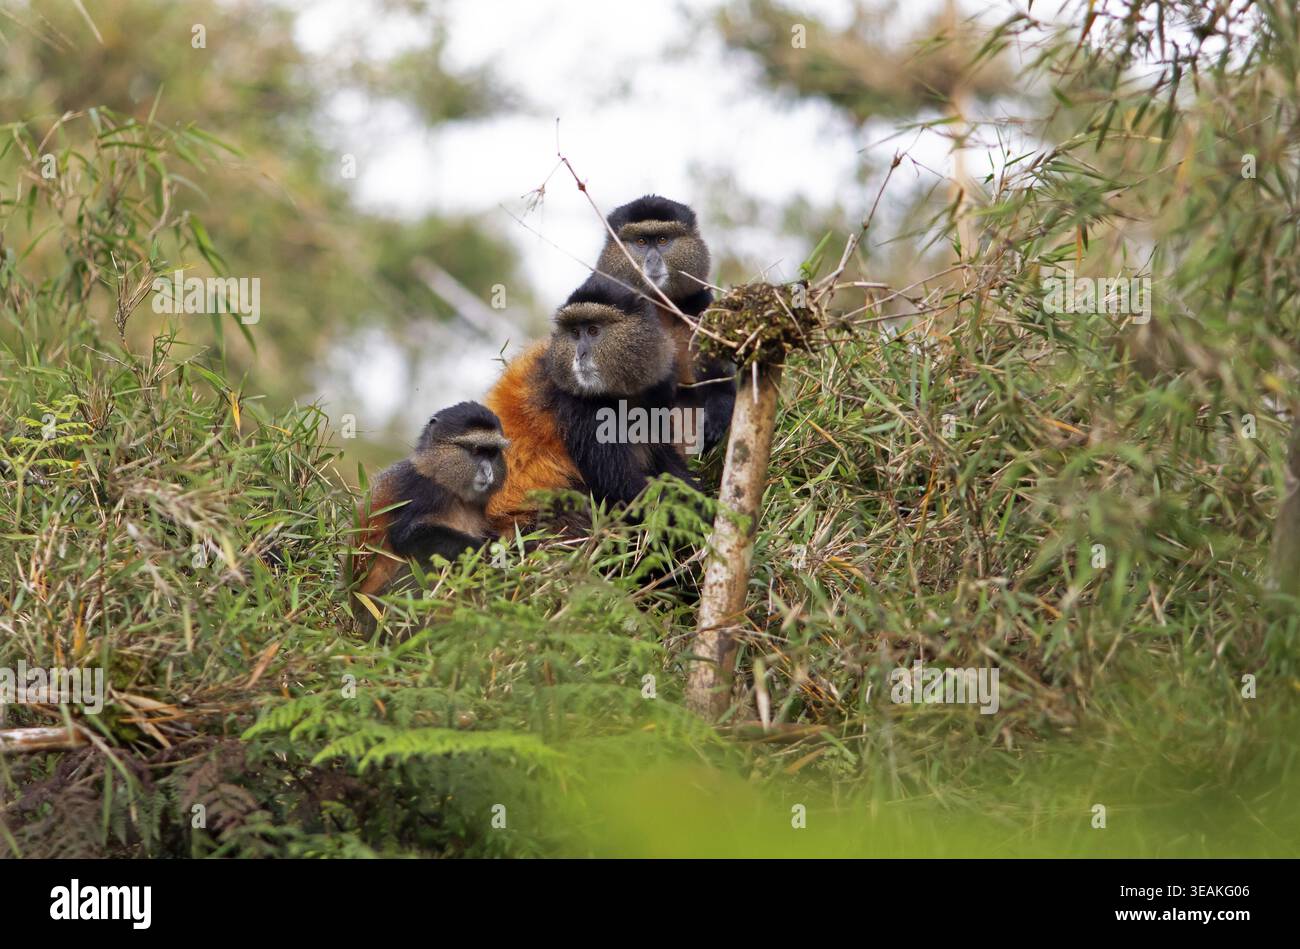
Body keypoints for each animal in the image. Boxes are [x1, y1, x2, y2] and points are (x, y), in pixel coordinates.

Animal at [345, 402, 507, 619]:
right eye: (476, 450)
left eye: (491, 453)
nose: (488, 472)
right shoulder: (422, 490)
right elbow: (406, 536)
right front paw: (486, 552)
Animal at [484, 280, 699, 533]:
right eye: (575, 333)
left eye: (594, 330)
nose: (580, 354)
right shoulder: (580, 410)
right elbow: (623, 485)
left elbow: (663, 457)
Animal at [577, 194, 737, 452]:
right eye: (641, 241)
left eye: (662, 239)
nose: (652, 259)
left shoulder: (699, 303)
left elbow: (718, 379)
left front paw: (716, 416)